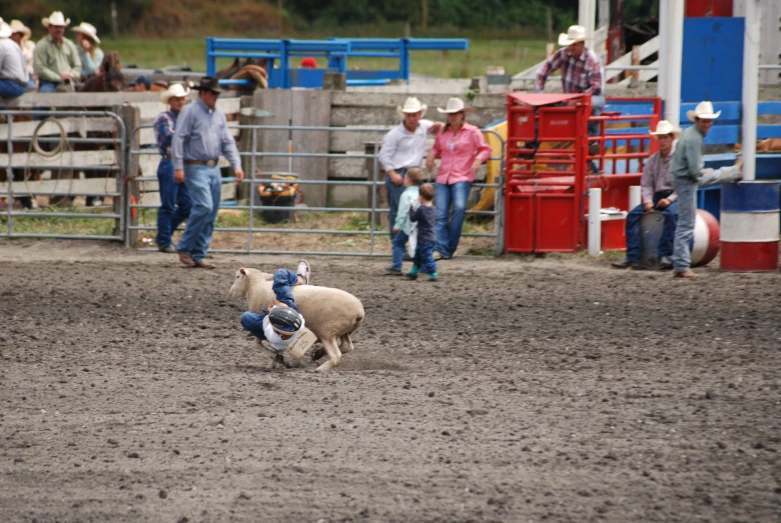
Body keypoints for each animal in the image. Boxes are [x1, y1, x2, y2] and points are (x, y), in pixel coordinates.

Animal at [229, 270, 366, 372]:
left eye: (237, 276)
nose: (230, 293)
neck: (255, 287)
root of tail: (359, 312)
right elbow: (275, 349)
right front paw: (274, 363)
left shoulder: (264, 328)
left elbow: (257, 344)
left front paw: (275, 360)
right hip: (344, 331)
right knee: (347, 346)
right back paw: (319, 353)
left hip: (327, 331)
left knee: (337, 355)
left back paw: (320, 369)